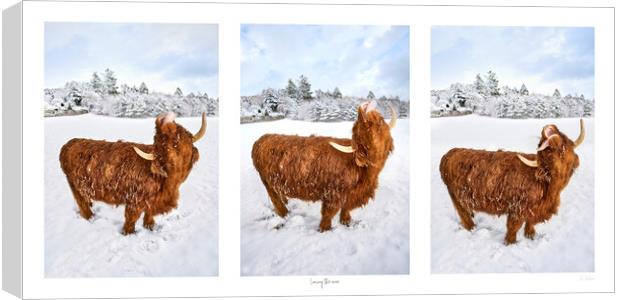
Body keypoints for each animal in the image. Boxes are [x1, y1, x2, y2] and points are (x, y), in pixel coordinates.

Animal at [59, 112, 207, 234]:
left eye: (177, 140)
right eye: (163, 144)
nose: (165, 120)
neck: (168, 183)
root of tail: (68, 144)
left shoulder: (152, 201)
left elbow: (149, 214)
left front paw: (150, 227)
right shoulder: (134, 200)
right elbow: (131, 219)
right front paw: (128, 233)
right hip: (74, 185)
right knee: (82, 203)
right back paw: (91, 218)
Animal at [252, 101, 398, 232]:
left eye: (379, 122)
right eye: (360, 132)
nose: (363, 108)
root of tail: (260, 139)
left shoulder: (352, 194)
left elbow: (346, 208)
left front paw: (346, 221)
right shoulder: (333, 194)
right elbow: (328, 213)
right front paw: (324, 229)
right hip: (266, 181)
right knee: (275, 198)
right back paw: (285, 214)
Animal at [438, 119, 584, 244]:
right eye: (547, 150)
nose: (549, 128)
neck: (549, 187)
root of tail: (448, 154)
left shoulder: (534, 209)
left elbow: (530, 222)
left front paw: (530, 235)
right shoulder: (517, 208)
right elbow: (513, 227)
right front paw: (510, 242)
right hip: (455, 195)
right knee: (462, 213)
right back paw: (472, 227)